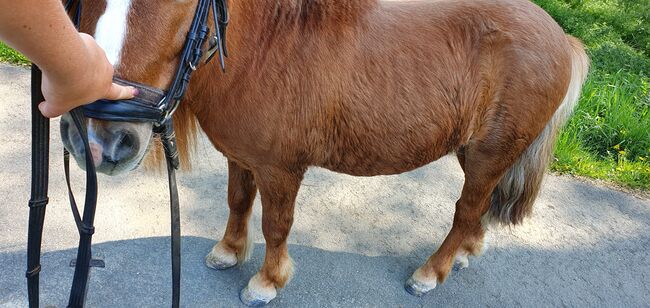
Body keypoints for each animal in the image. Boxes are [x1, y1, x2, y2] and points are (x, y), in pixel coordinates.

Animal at [60, 0, 588, 304]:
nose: (101, 140)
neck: (264, 47)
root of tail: (562, 38)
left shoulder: (280, 168)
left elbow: (276, 225)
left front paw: (267, 282)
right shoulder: (241, 157)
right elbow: (237, 202)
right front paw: (228, 252)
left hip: (488, 154)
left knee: (466, 209)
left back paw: (431, 272)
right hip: (475, 151)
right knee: (479, 207)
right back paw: (467, 252)